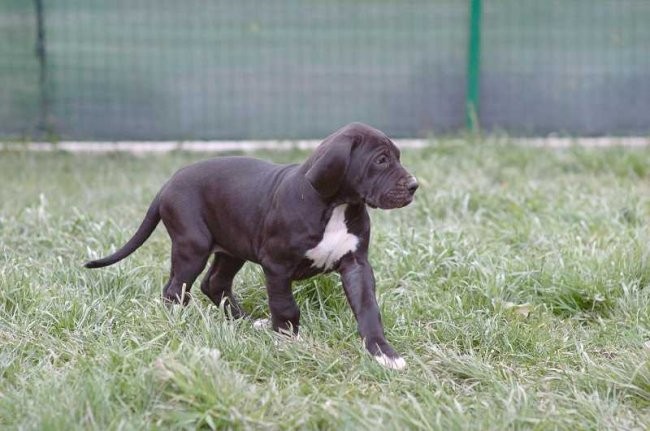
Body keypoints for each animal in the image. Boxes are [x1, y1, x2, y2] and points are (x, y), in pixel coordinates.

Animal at [86, 122, 418, 372]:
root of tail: (167, 184)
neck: (336, 206)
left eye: (398, 157)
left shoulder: (356, 265)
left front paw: (383, 352)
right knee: (175, 289)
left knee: (213, 283)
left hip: (232, 247)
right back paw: (177, 325)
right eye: (381, 160)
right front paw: (287, 341)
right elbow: (285, 306)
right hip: (192, 245)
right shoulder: (276, 265)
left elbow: (368, 308)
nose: (414, 185)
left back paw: (248, 322)